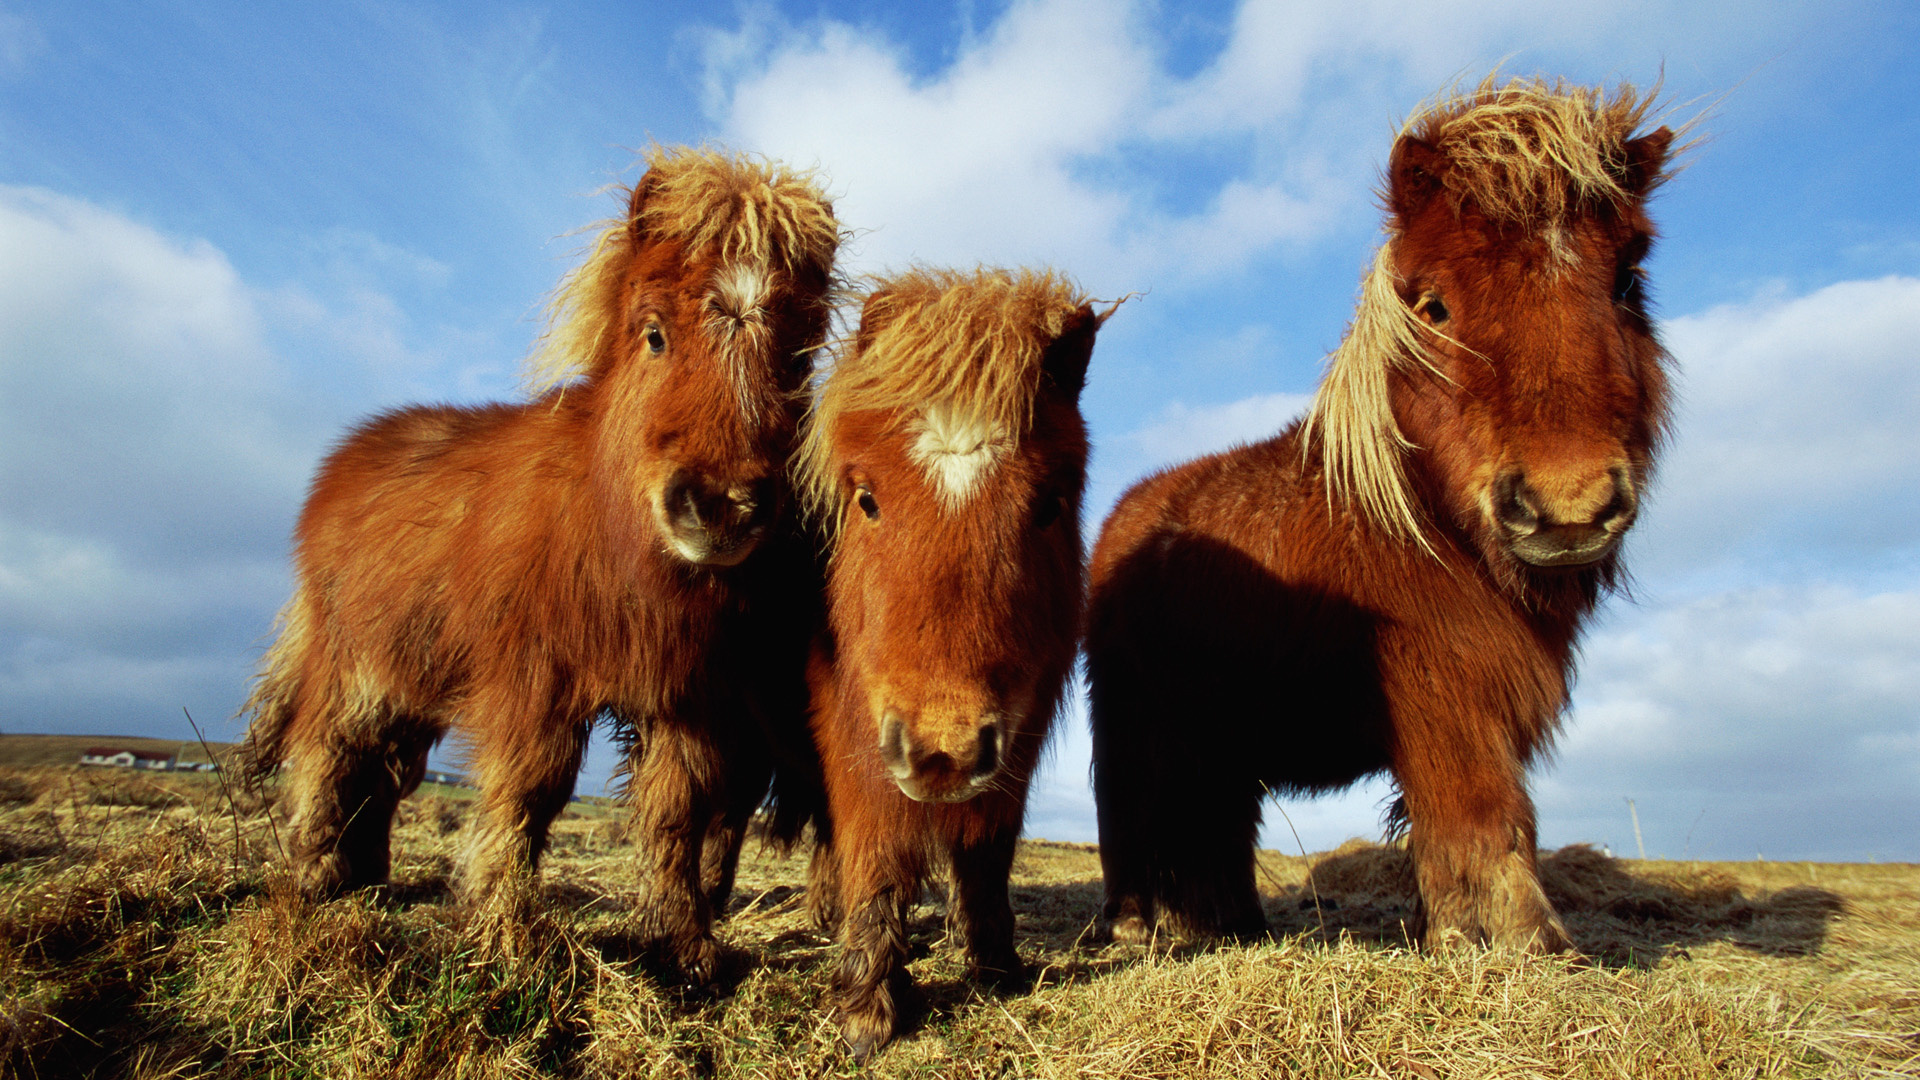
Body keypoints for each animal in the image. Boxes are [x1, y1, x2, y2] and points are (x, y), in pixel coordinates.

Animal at [236, 145, 837, 976]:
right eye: (654, 334)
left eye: (799, 360)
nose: (721, 506)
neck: (611, 535)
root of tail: (344, 461)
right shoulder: (534, 680)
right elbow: (528, 794)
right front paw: (503, 934)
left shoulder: (690, 696)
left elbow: (678, 812)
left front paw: (683, 947)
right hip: (355, 665)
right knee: (327, 752)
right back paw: (316, 880)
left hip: (414, 680)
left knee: (386, 771)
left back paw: (368, 879)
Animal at [787, 267, 1105, 1053]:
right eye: (866, 498)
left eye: (1049, 505)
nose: (944, 752)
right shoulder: (855, 728)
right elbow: (873, 848)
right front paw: (867, 1004)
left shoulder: (1015, 736)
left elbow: (988, 851)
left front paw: (996, 966)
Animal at [1098, 77, 1681, 949]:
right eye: (1433, 306)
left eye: (1626, 282)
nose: (1568, 506)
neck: (1421, 524)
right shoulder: (1441, 693)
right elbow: (1481, 812)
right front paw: (1520, 944)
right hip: (1140, 727)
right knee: (1137, 817)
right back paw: (1139, 929)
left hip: (1215, 738)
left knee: (1214, 826)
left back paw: (1232, 928)